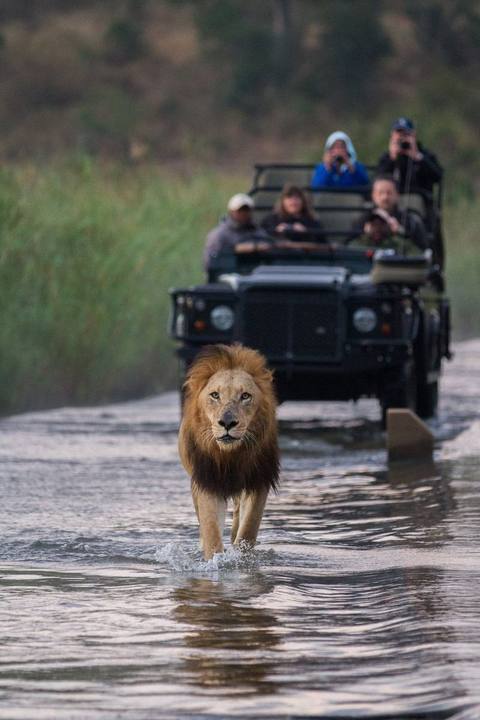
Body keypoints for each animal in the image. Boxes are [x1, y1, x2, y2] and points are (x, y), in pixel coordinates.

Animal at [178, 343, 279, 560]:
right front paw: (216, 560)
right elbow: (211, 530)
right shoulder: (209, 481)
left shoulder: (258, 481)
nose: (227, 423)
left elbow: (248, 528)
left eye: (245, 396)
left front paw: (241, 556)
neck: (231, 455)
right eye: (215, 395)